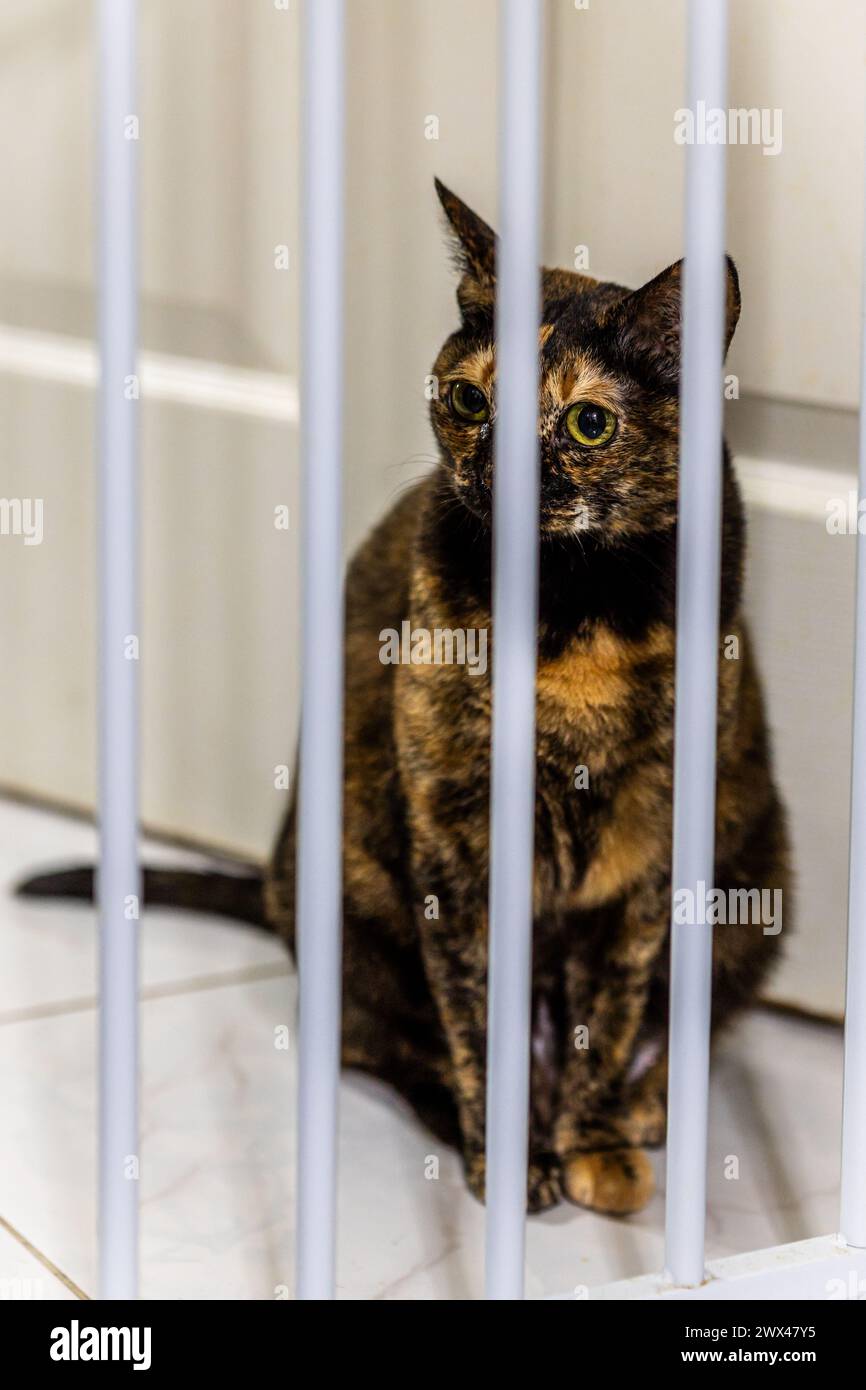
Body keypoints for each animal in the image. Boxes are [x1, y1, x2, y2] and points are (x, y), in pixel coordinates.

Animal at [20, 184, 795, 1217]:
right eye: (470, 399)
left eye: (588, 424)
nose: (496, 467)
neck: (570, 615)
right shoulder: (458, 834)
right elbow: (476, 1019)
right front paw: (509, 1156)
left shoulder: (645, 844)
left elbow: (612, 1009)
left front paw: (591, 1143)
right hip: (347, 893)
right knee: (384, 1044)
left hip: (755, 877)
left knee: (677, 1032)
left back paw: (639, 1116)